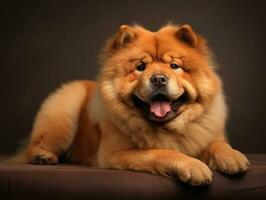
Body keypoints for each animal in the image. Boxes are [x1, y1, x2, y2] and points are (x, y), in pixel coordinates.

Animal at [10, 24, 251, 185]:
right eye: (141, 67)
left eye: (174, 66)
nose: (159, 79)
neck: (166, 128)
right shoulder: (117, 153)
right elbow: (162, 153)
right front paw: (194, 166)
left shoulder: (208, 134)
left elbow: (218, 144)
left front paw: (233, 158)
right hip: (64, 115)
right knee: (32, 146)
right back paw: (43, 157)